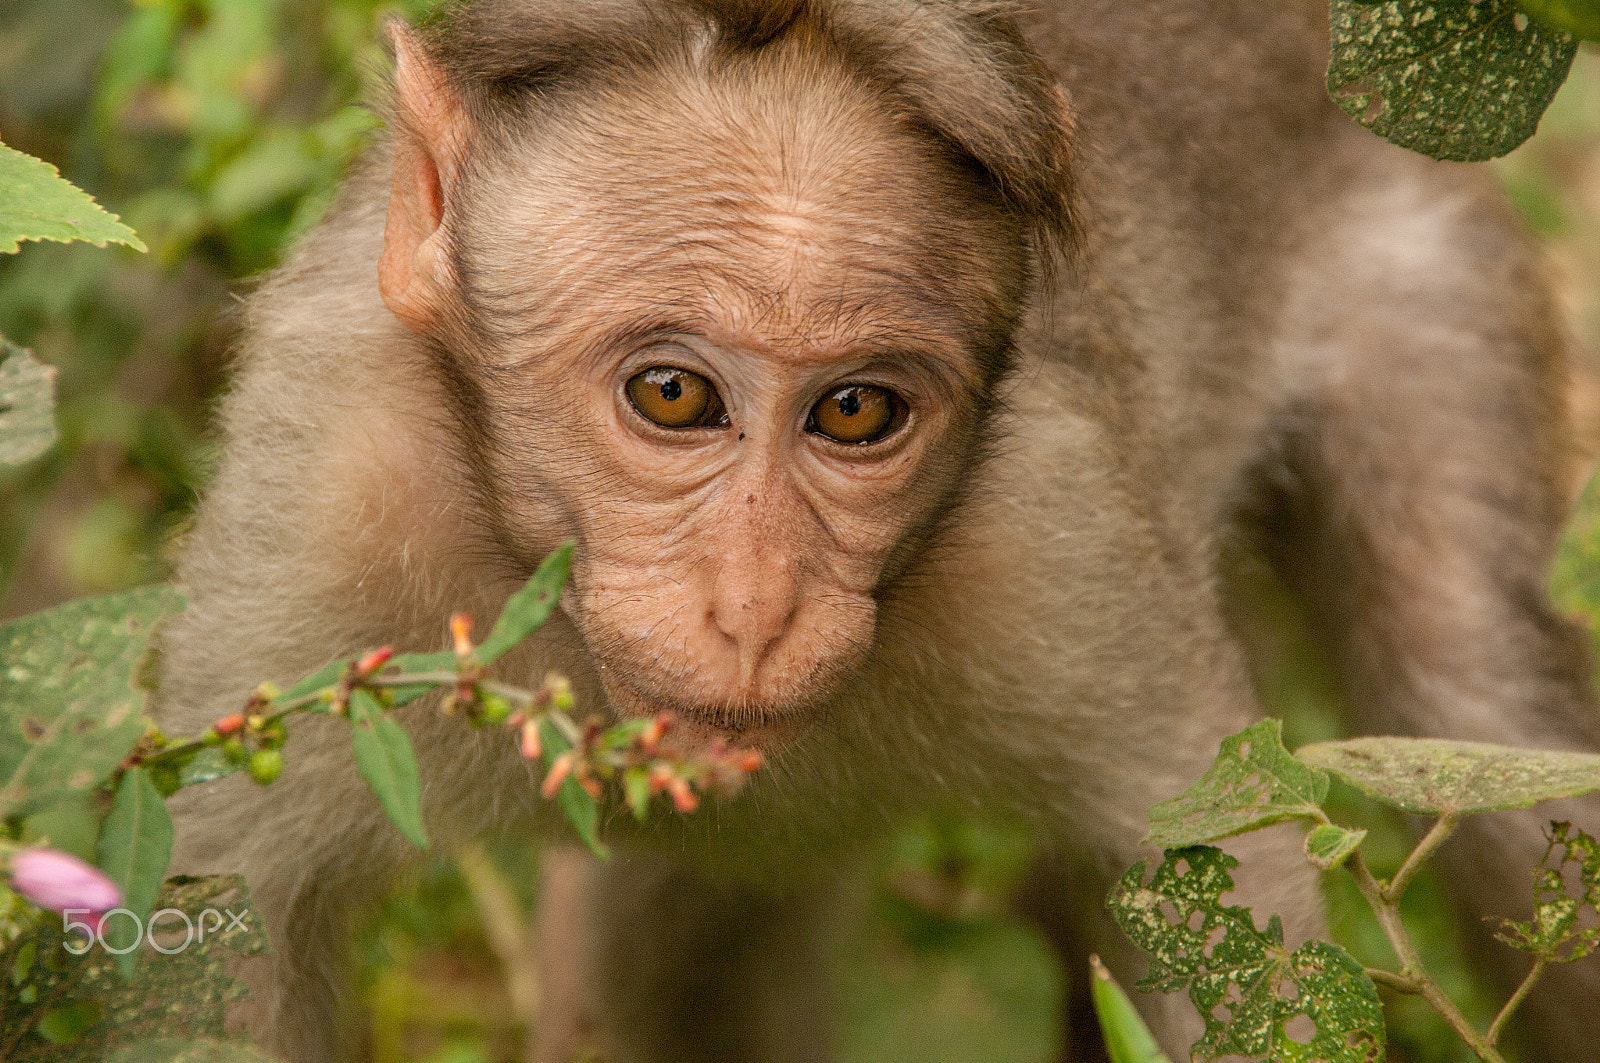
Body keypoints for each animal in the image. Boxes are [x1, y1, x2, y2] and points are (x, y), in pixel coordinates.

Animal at [152, 0, 1600, 1060]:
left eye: (856, 412)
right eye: (671, 395)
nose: (756, 607)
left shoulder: (1056, 540)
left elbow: (1229, 885)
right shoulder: (330, 508)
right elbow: (221, 927)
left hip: (1420, 259)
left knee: (1471, 711)